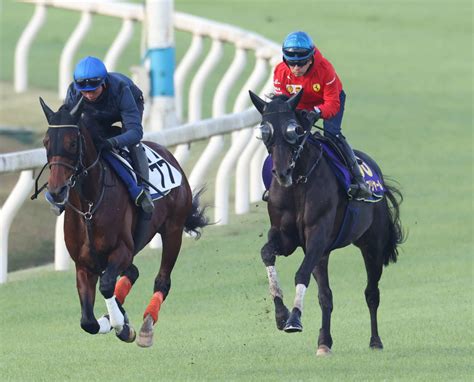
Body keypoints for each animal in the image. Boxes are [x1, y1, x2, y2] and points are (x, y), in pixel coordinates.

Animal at [37, 97, 207, 346]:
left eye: (72, 142)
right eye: (46, 141)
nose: (56, 191)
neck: (89, 206)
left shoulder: (122, 250)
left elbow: (107, 285)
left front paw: (122, 327)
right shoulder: (84, 264)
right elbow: (87, 322)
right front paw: (115, 320)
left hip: (173, 231)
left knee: (162, 281)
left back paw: (146, 325)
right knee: (133, 272)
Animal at [248, 89, 404, 356]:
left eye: (294, 130)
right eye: (264, 131)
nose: (282, 172)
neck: (298, 183)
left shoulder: (318, 236)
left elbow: (301, 273)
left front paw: (294, 319)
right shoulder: (286, 237)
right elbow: (267, 254)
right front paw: (281, 315)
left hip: (371, 244)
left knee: (371, 292)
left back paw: (375, 340)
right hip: (324, 255)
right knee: (326, 296)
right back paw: (324, 342)